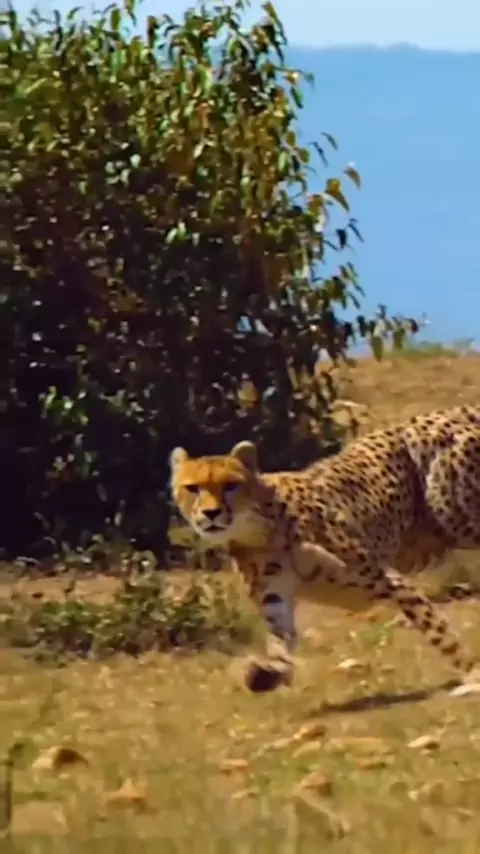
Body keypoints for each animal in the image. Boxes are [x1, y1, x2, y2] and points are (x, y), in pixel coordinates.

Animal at [170, 404, 480, 697]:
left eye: (230, 486)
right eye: (192, 488)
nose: (211, 513)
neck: (259, 533)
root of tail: (458, 410)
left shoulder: (388, 579)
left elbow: (437, 631)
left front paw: (472, 673)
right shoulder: (276, 601)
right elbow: (280, 643)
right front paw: (264, 674)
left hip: (453, 514)